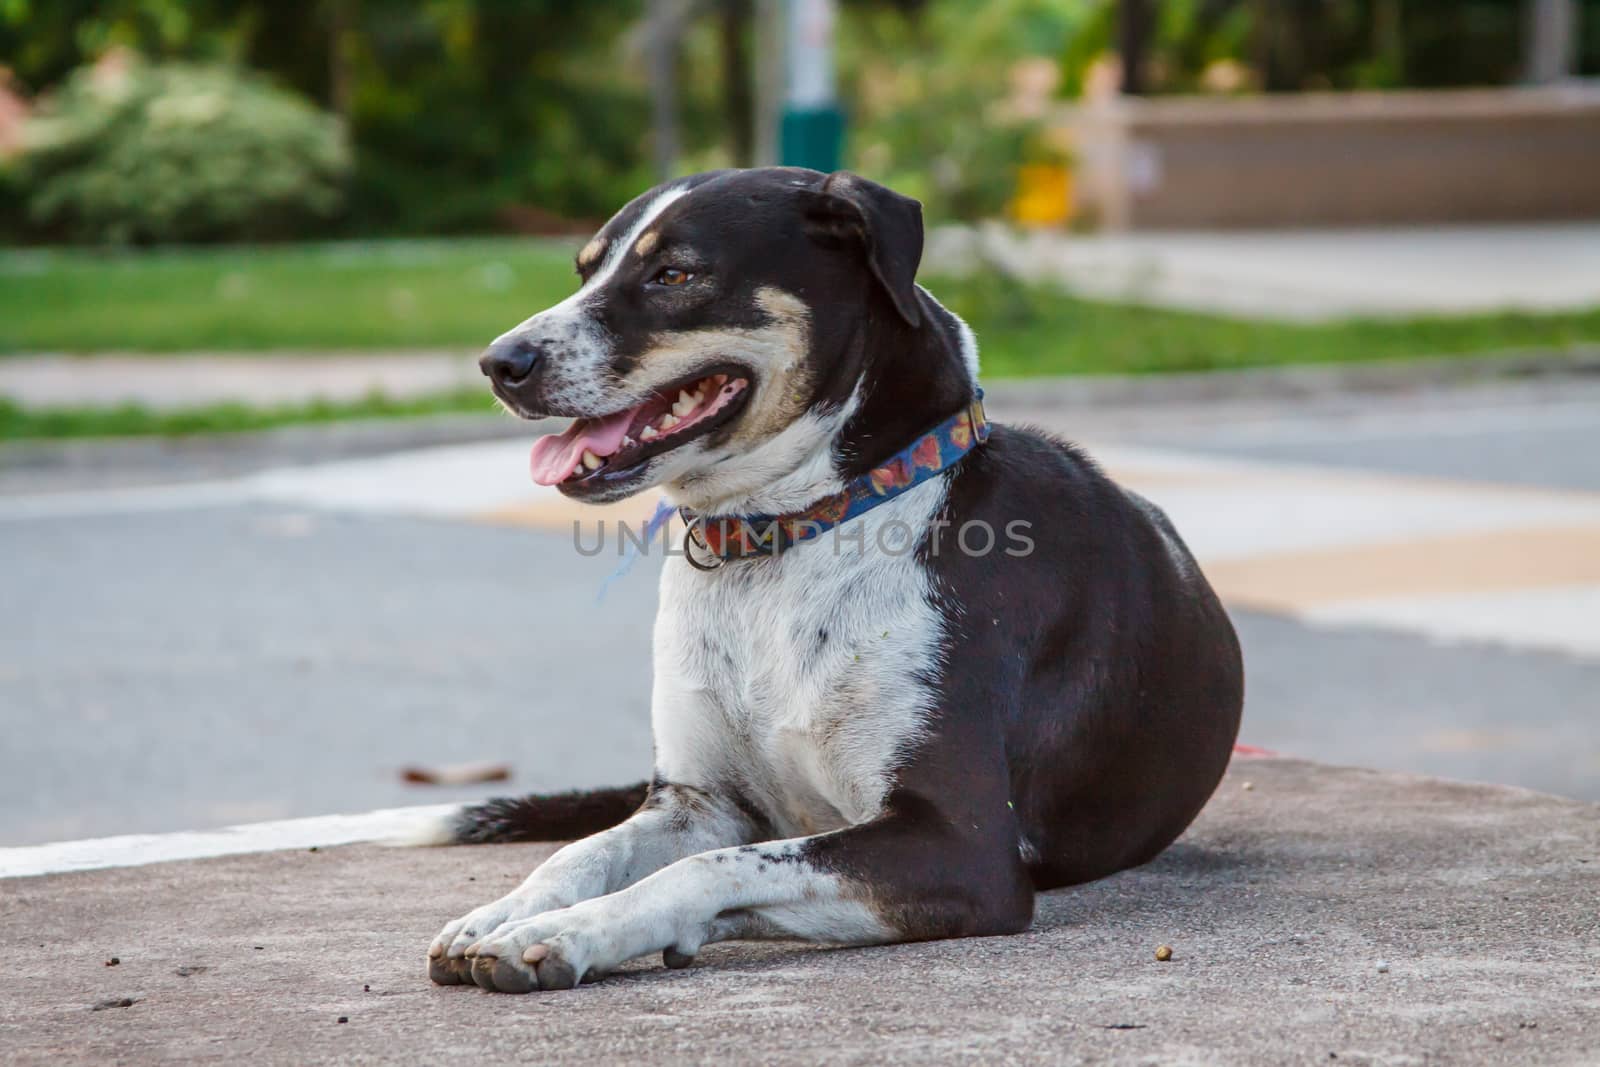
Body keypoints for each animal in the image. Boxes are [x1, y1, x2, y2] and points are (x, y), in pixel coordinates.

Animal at [419, 167, 1241, 991]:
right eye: (585, 270)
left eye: (675, 275)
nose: (500, 363)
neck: (785, 538)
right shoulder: (696, 803)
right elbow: (584, 852)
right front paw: (504, 912)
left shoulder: (961, 846)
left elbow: (711, 869)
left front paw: (570, 931)